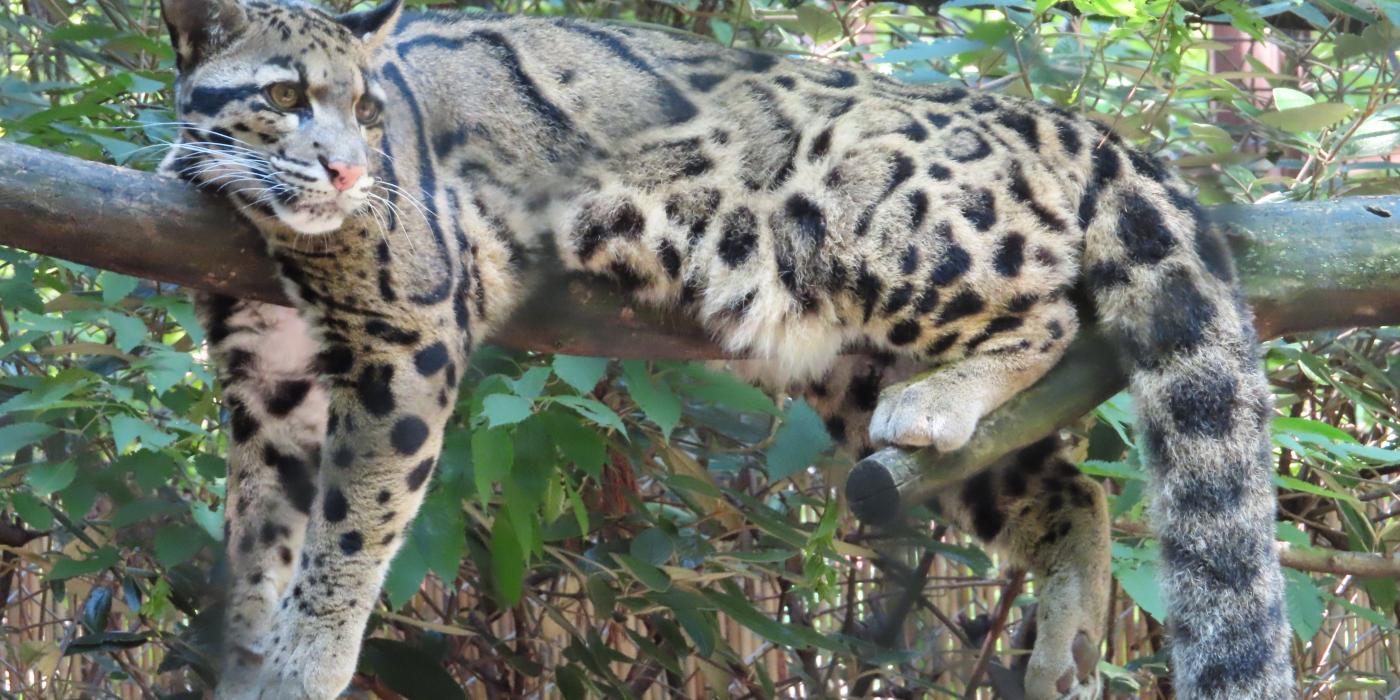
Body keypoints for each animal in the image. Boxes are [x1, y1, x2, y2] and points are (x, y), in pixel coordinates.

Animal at [156, 0, 1288, 697]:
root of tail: (1041, 111)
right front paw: (246, 648)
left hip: (872, 229)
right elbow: (264, 524)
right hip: (852, 371)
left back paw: (953, 393)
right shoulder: (271, 366)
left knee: (1046, 308)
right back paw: (1068, 637)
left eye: (366, 108)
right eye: (286, 97)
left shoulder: (408, 329)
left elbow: (355, 523)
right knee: (1075, 492)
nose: (350, 172)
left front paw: (305, 659)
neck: (260, 217)